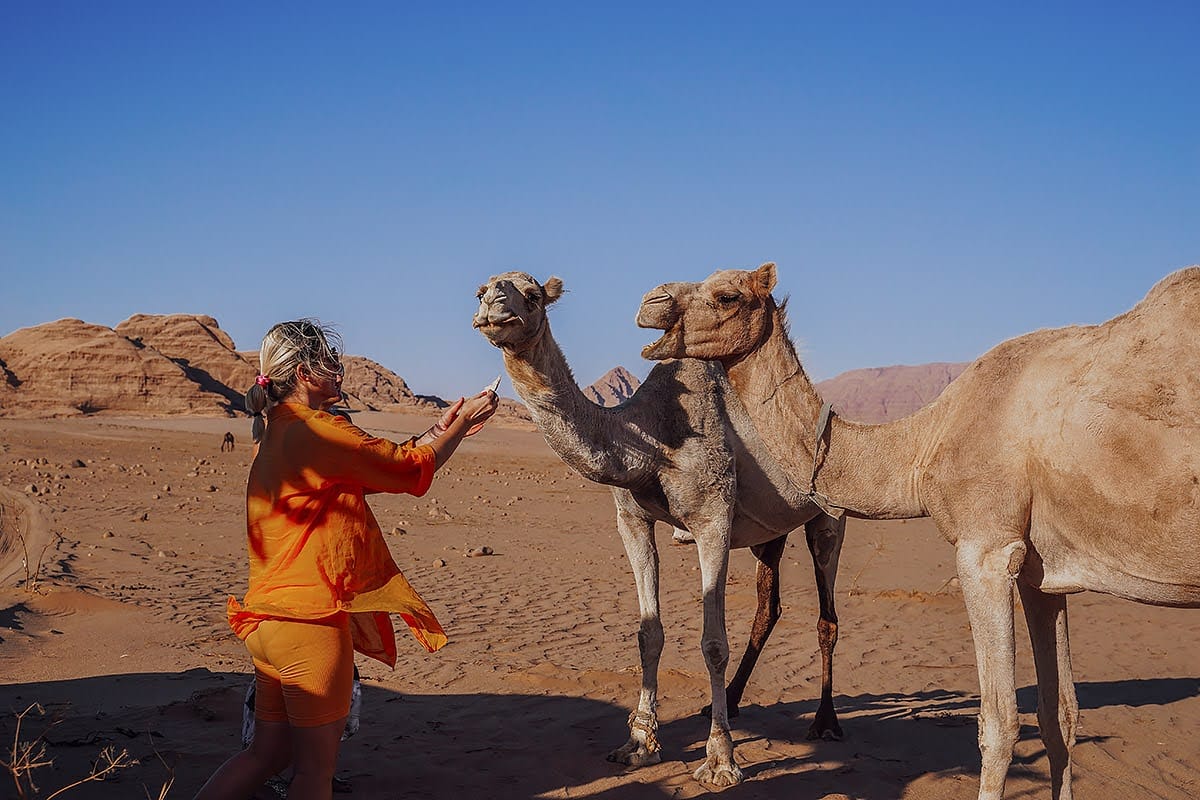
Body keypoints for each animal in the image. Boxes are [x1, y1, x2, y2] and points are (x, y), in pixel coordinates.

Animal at [473, 271, 846, 785]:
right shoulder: (632, 519)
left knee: (827, 614)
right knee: (767, 607)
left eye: (531, 297)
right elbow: (648, 633)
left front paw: (720, 760)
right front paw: (639, 744)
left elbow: (713, 643)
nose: (494, 304)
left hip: (828, 515)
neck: (654, 436)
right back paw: (731, 701)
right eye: (480, 290)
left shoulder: (713, 518)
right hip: (772, 533)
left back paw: (825, 722)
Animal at [637, 262, 1200, 800]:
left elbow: (999, 724)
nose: (649, 301)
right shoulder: (1042, 574)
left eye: (727, 295)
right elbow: (1059, 715)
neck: (924, 443)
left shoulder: (987, 550)